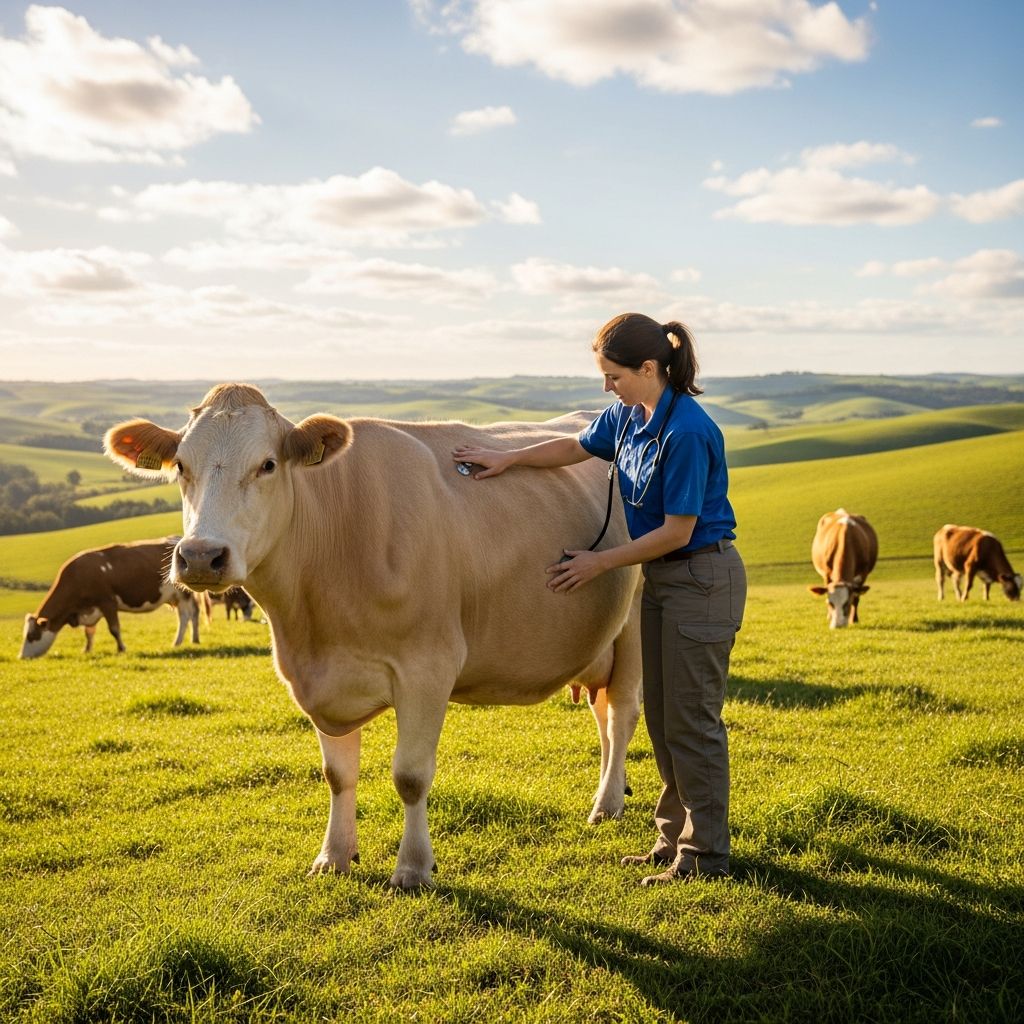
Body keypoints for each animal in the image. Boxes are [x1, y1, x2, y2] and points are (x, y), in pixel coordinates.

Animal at [20, 537, 203, 658]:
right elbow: (89, 632)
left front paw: (121, 649)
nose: (21, 657)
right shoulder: (91, 608)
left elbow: (114, 629)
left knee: (185, 616)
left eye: (31, 636)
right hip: (178, 596)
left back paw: (177, 642)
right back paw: (193, 639)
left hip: (183, 594)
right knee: (192, 614)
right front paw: (87, 650)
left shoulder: (107, 602)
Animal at [104, 383, 642, 890]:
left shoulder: (428, 667)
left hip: (633, 627)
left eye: (268, 465)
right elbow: (337, 775)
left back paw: (606, 803)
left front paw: (413, 868)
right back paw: (609, 790)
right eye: (180, 466)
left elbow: (410, 775)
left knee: (622, 716)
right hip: (598, 646)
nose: (200, 556)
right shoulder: (319, 676)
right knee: (602, 715)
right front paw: (334, 855)